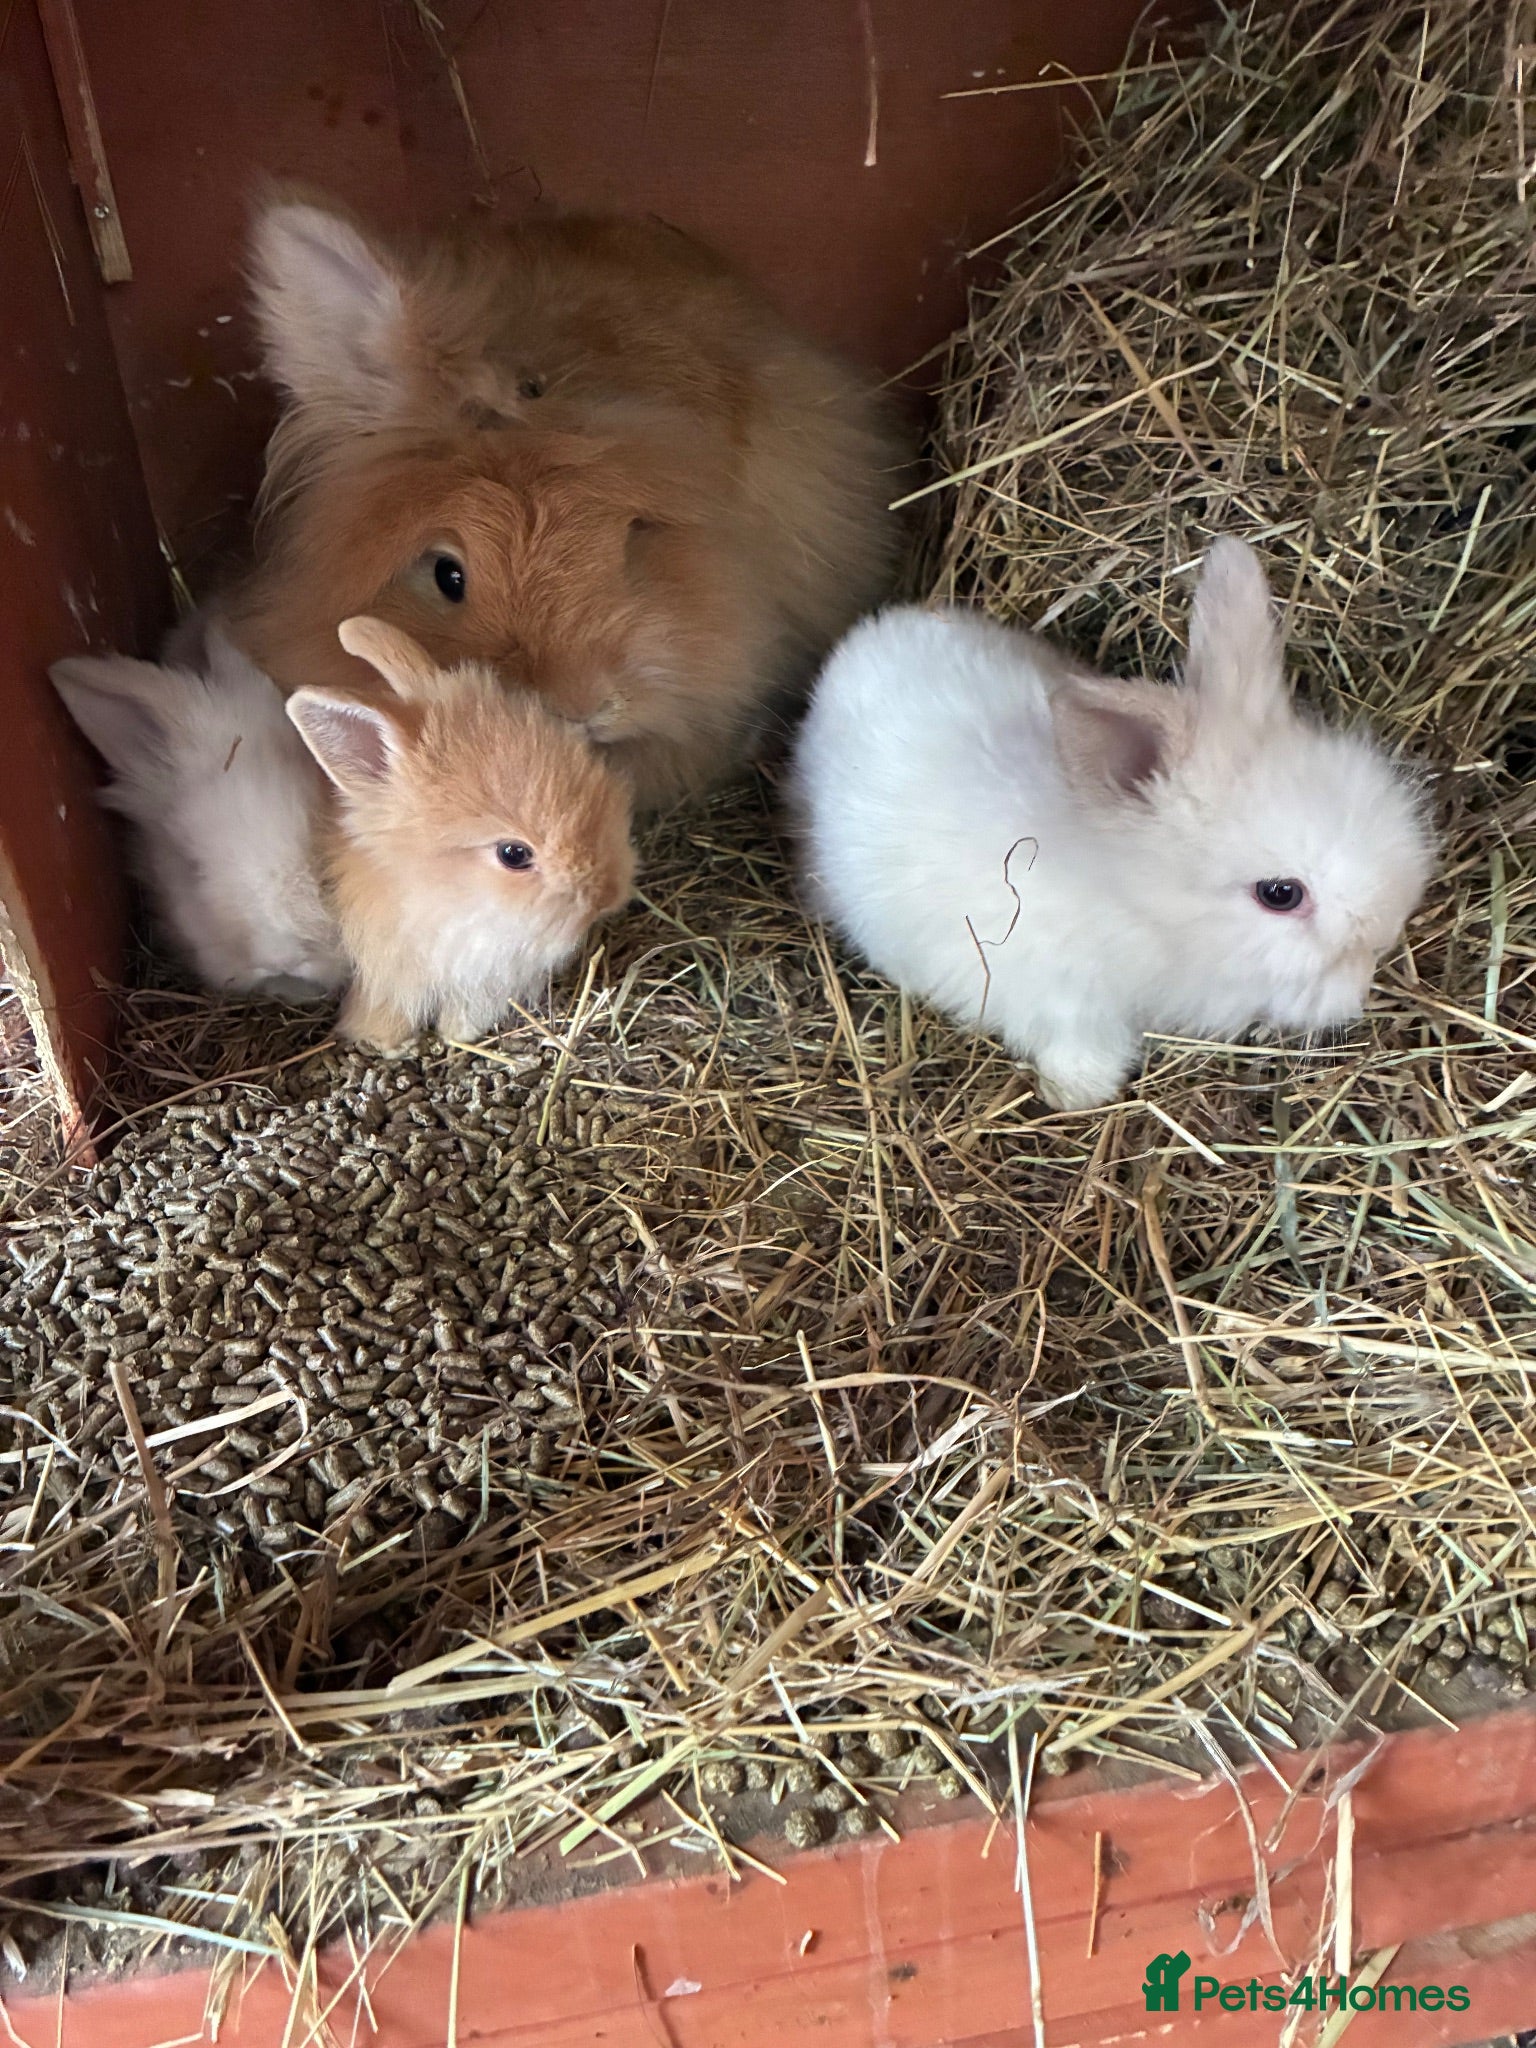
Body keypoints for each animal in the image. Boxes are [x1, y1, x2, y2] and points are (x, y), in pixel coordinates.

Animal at [788, 538, 1435, 1111]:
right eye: (1280, 894)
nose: (1379, 945)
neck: (1141, 914)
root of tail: (856, 647)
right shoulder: (1065, 1005)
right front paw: (1072, 1094)